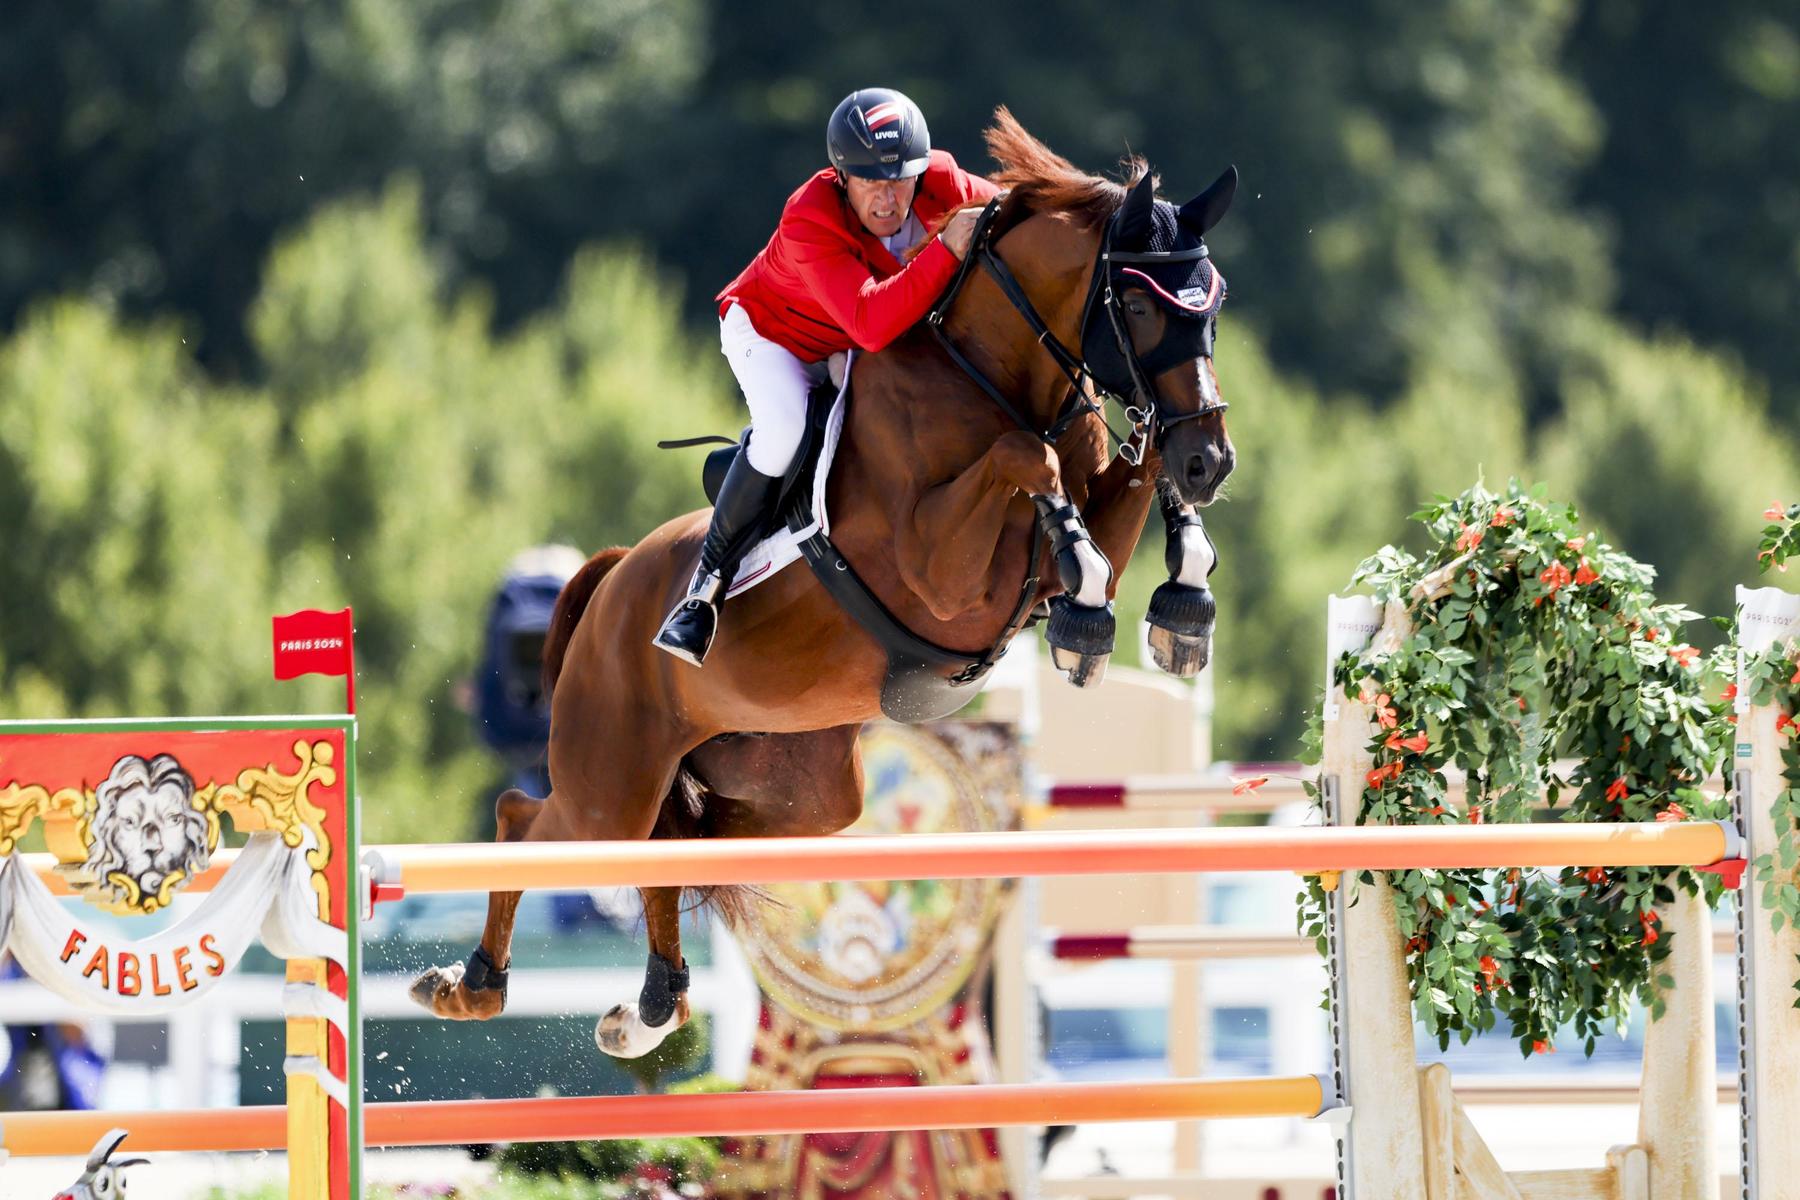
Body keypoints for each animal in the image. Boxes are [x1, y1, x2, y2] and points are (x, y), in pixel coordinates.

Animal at [412, 107, 1238, 1057]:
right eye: (1136, 303)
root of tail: (616, 580)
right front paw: (1087, 617)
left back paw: (649, 1007)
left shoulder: (1090, 497)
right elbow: (1026, 461)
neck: (989, 371)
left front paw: (1182, 602)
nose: (1213, 459)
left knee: (682, 843)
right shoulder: (941, 571)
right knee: (526, 816)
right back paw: (472, 985)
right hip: (608, 779)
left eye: (1213, 302)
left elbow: (1131, 476)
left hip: (799, 789)